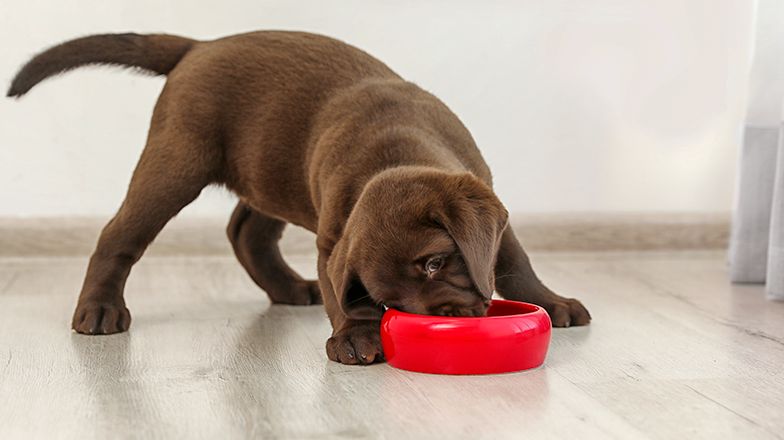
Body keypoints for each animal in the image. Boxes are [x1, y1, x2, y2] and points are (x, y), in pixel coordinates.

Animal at [7, 31, 588, 364]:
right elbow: (339, 294)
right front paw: (355, 335)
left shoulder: (488, 205)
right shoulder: (333, 240)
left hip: (268, 174)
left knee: (246, 232)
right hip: (176, 161)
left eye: (435, 262)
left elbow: (514, 262)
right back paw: (100, 309)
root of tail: (200, 46)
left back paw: (287, 289)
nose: (442, 320)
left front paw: (553, 301)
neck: (394, 149)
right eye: (388, 301)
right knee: (119, 235)